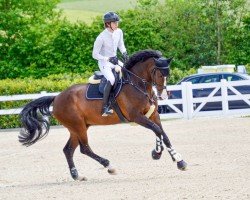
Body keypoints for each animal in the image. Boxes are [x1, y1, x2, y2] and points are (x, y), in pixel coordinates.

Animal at [19, 49, 187, 180]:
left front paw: (173, 158)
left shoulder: (153, 115)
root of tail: (57, 97)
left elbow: (162, 133)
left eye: (168, 74)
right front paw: (164, 155)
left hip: (78, 127)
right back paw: (109, 165)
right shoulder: (137, 117)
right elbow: (157, 130)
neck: (138, 85)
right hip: (78, 126)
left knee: (68, 150)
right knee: (84, 149)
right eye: (159, 74)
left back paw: (76, 175)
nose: (163, 95)